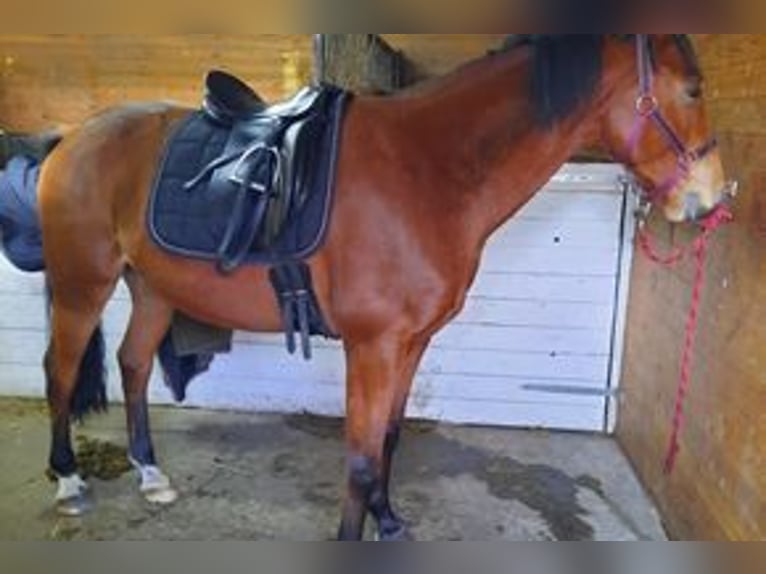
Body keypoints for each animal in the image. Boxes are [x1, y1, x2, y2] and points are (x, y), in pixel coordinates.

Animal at [22, 35, 732, 540]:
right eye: (693, 89)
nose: (714, 199)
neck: (428, 169)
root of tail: (72, 138)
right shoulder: (373, 346)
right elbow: (360, 458)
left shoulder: (411, 343)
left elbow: (388, 438)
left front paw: (388, 522)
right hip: (84, 284)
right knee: (60, 371)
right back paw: (69, 483)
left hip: (151, 288)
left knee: (134, 365)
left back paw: (150, 474)